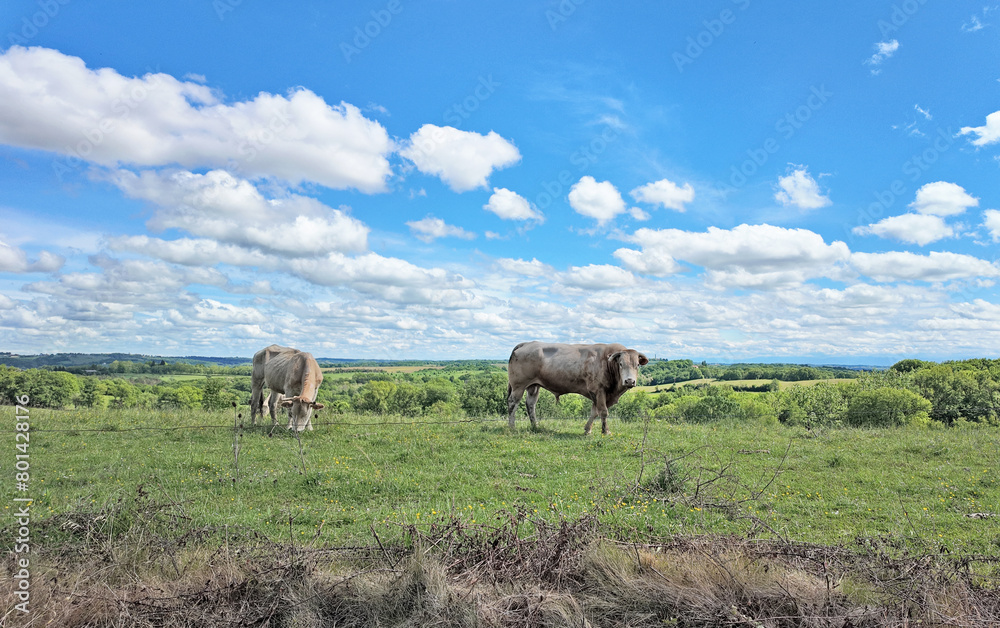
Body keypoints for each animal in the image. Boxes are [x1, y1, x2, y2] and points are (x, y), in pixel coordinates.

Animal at [508, 340, 648, 434]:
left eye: (637, 365)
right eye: (620, 364)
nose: (629, 381)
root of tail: (527, 343)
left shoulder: (597, 394)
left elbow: (594, 412)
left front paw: (587, 430)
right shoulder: (598, 390)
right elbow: (603, 412)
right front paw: (605, 431)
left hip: (533, 386)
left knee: (530, 404)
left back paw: (535, 426)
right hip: (518, 386)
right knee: (513, 403)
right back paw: (512, 427)